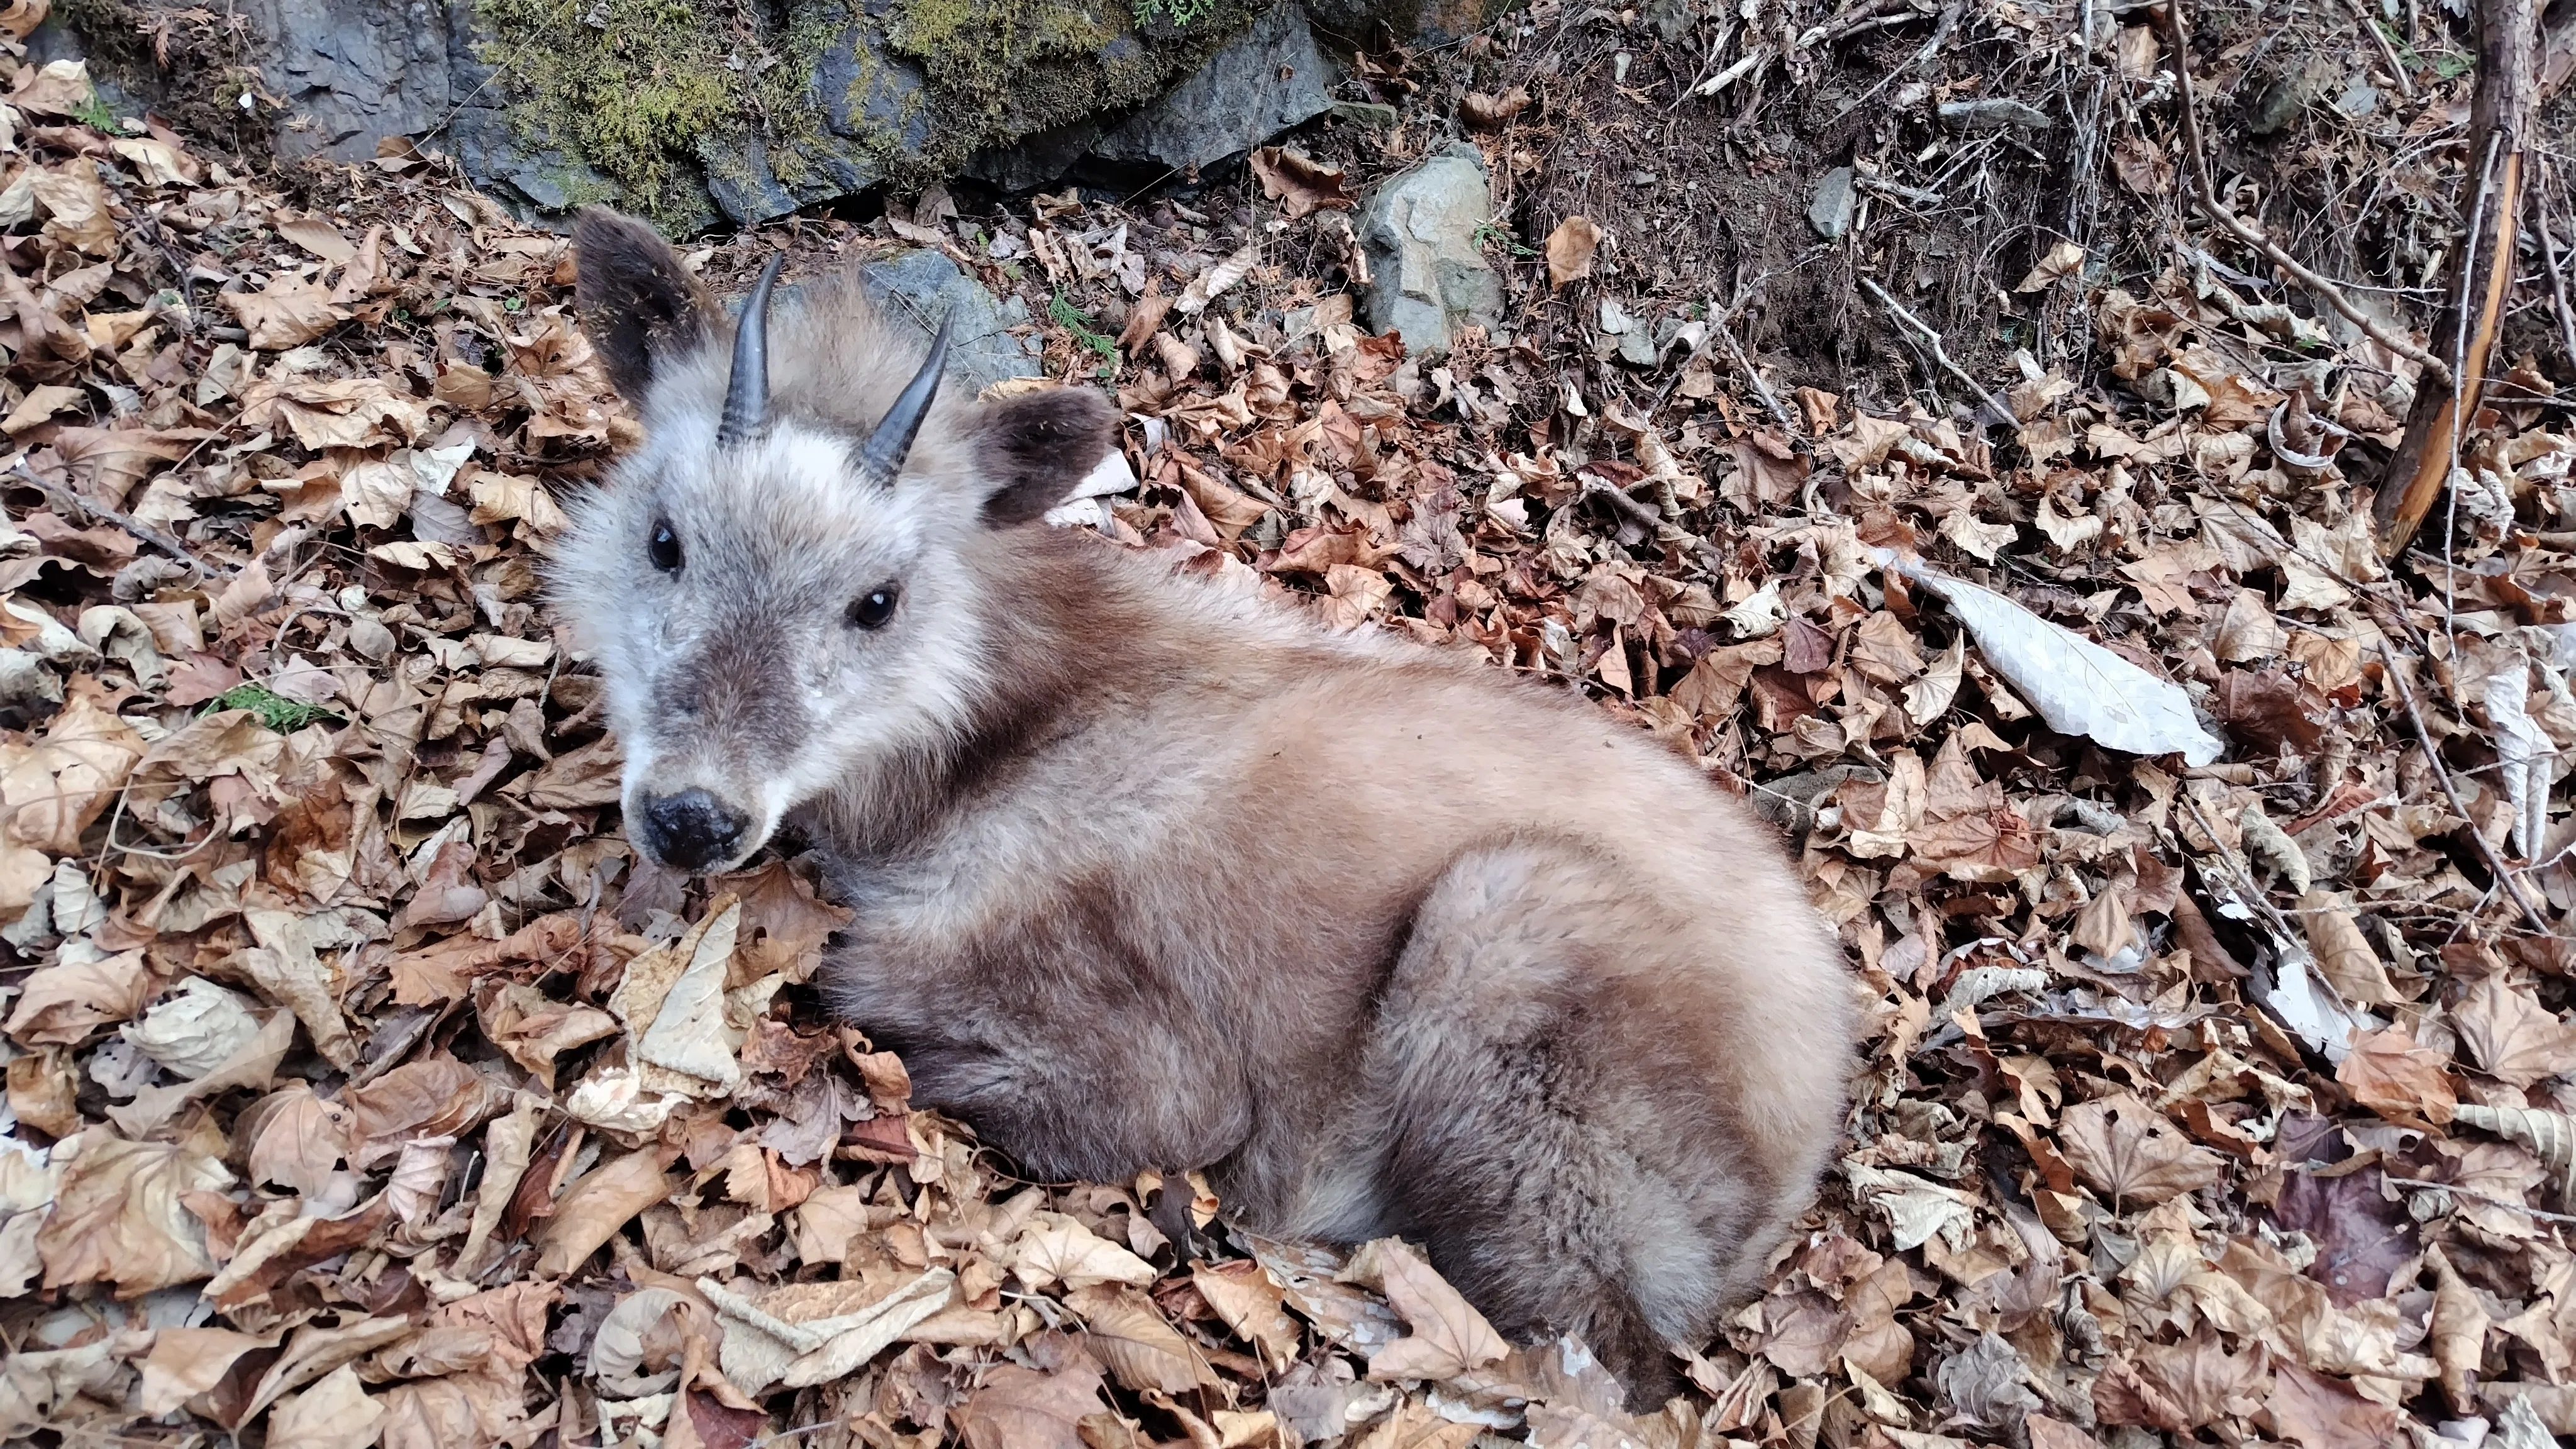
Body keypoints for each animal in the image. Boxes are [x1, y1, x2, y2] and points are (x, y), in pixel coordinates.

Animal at [552, 207, 1857, 1408]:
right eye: (664, 538)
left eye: (878, 599)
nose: (693, 813)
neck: (988, 740)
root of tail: (1817, 1115)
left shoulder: (1146, 1062)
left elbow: (888, 1010)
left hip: (1512, 916)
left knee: (1602, 1352)